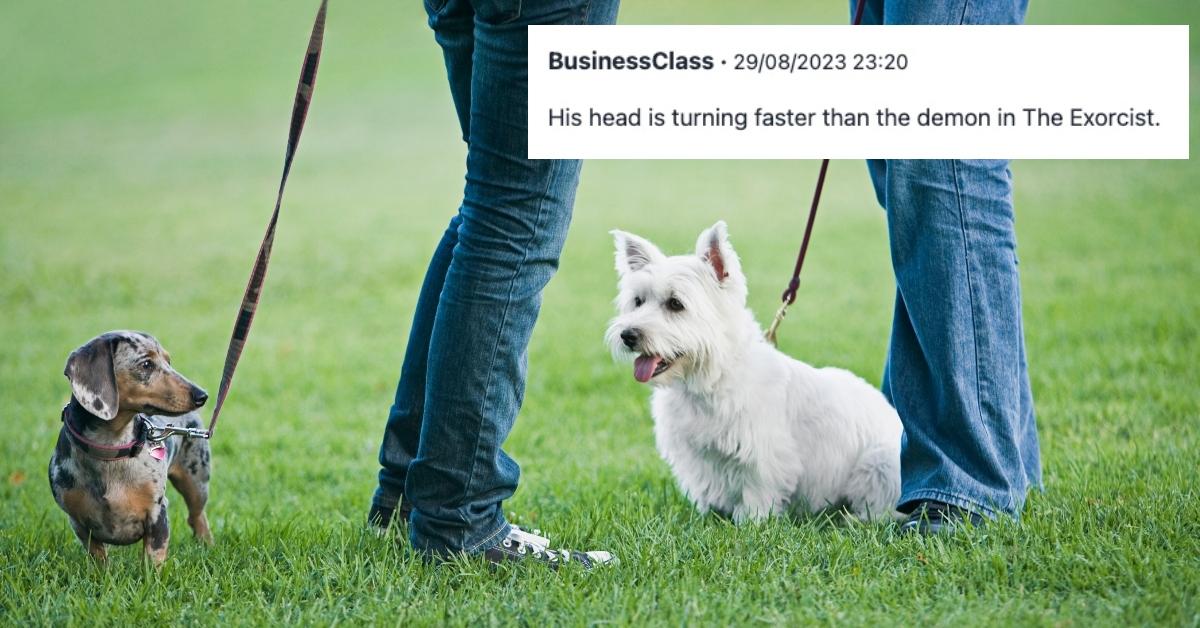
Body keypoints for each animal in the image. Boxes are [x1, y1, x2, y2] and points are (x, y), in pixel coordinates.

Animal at [50, 331, 213, 566]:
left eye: (168, 361)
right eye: (146, 364)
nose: (202, 395)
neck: (110, 450)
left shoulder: (157, 513)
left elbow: (152, 561)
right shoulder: (79, 523)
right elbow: (98, 558)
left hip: (196, 483)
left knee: (197, 516)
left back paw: (207, 545)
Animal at [609, 223, 902, 523]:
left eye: (675, 304)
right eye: (638, 301)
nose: (628, 335)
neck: (710, 379)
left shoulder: (764, 455)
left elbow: (756, 492)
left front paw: (750, 522)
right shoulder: (697, 455)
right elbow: (705, 486)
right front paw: (708, 514)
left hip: (879, 464)